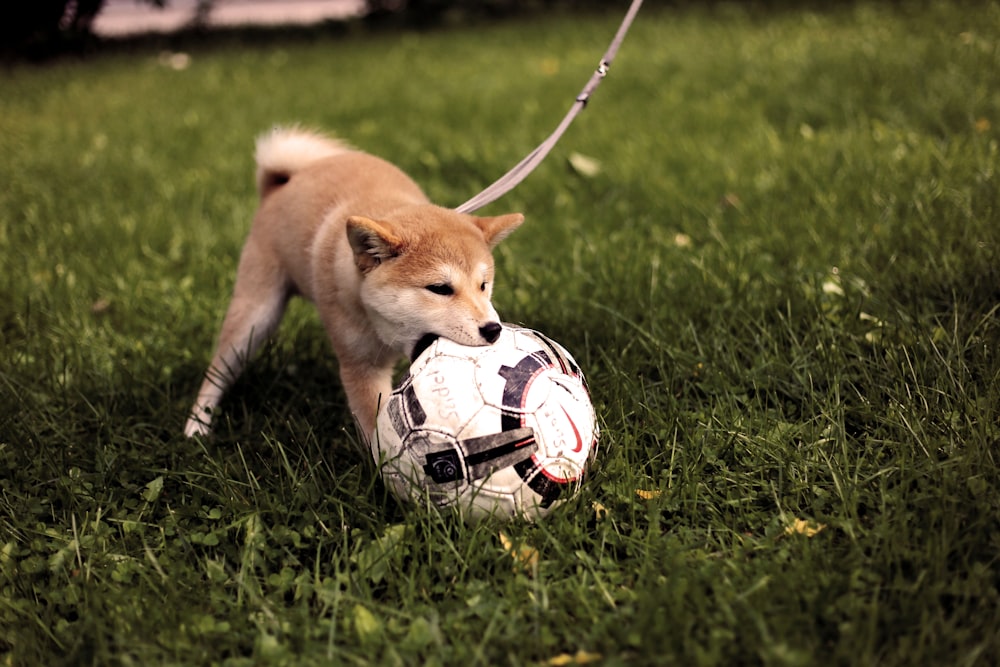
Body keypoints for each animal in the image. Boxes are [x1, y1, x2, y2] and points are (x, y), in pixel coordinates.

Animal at [184, 129, 524, 444]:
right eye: (440, 288)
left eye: (483, 285)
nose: (493, 329)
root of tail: (281, 183)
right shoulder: (361, 366)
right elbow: (375, 427)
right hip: (255, 312)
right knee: (218, 370)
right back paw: (197, 425)